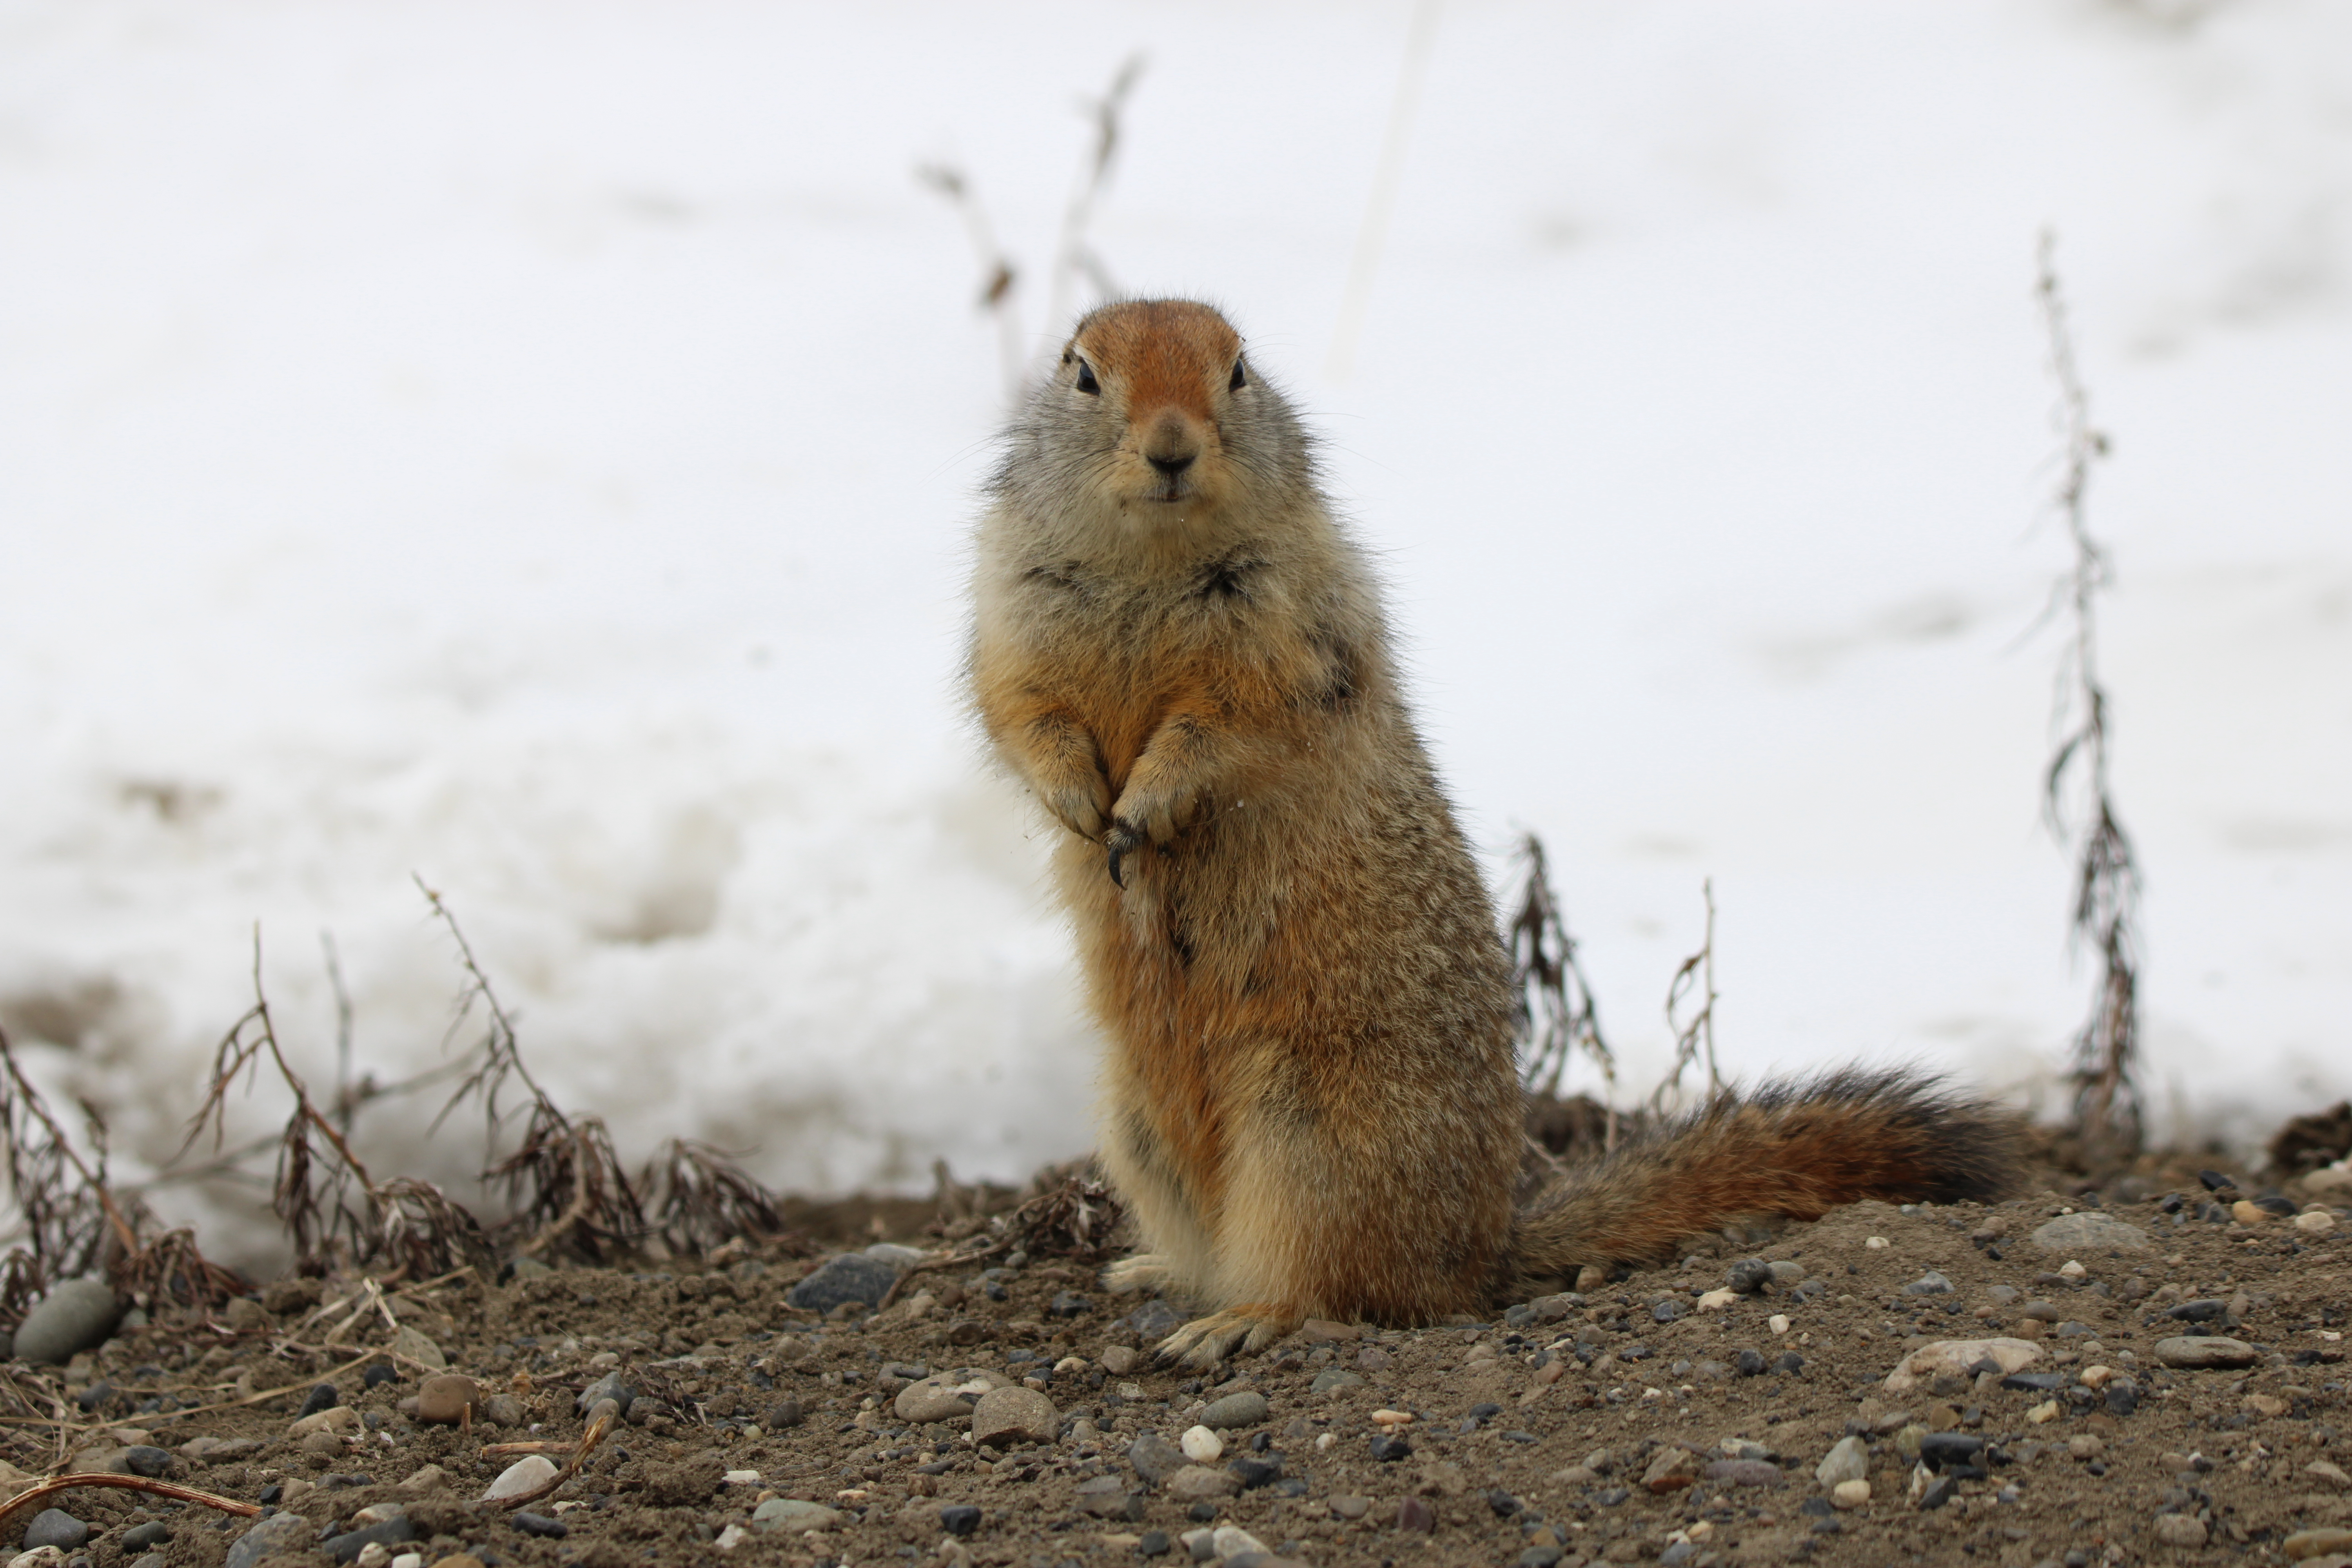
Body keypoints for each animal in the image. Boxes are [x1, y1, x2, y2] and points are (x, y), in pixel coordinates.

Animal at [965, 299, 2021, 1367]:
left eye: (1240, 370)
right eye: (1083, 372)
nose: (1173, 446)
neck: (1155, 559)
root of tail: (1485, 1252)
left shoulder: (1296, 636)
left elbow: (1228, 725)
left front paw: (1143, 805)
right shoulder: (1009, 611)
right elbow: (1020, 712)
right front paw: (1076, 800)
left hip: (1315, 1142)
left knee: (1345, 1285)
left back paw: (1241, 1319)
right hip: (1137, 1128)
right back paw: (1154, 1270)